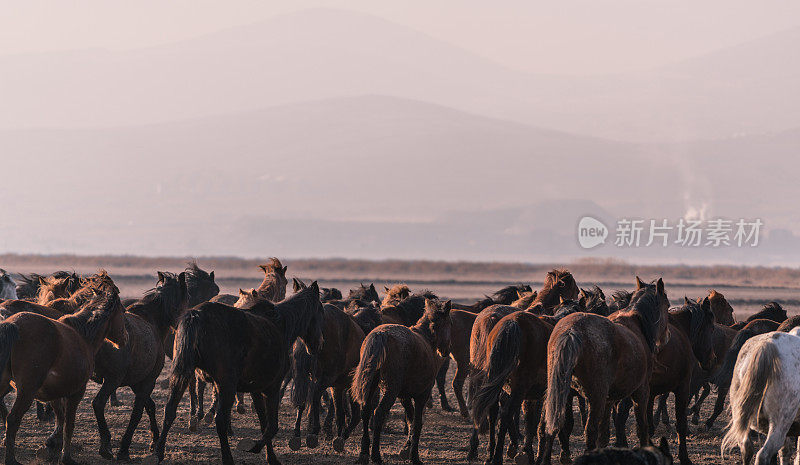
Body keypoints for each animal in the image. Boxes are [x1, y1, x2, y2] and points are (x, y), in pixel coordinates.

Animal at [0, 276, 126, 464]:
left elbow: (60, 417)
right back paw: (11, 459)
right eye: (123, 312)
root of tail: (12, 324)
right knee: (13, 419)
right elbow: (69, 424)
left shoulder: (55, 392)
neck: (83, 336)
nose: (125, 338)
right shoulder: (76, 392)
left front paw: (52, 444)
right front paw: (66, 456)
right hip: (26, 391)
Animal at [152, 280, 324, 462]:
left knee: (170, 410)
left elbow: (264, 423)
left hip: (182, 374)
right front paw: (255, 448)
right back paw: (228, 458)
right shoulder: (272, 387)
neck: (281, 325)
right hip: (226, 385)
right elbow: (272, 426)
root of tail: (196, 315)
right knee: (220, 420)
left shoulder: (256, 390)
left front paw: (270, 456)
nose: (319, 344)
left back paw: (158, 453)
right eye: (320, 311)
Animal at [350, 298, 450, 464]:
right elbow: (417, 423)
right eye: (449, 323)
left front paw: (406, 449)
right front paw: (414, 456)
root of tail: (380, 335)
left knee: (366, 411)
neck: (426, 340)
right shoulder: (422, 395)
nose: (445, 351)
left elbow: (410, 420)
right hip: (390, 390)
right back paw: (376, 456)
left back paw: (363, 454)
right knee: (378, 413)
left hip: (372, 386)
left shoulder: (404, 396)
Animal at [536, 278, 668, 462]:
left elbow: (604, 434)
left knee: (547, 427)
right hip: (595, 397)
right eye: (667, 304)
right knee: (590, 431)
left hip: (557, 393)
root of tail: (571, 331)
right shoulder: (641, 391)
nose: (667, 336)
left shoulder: (608, 399)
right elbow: (642, 427)